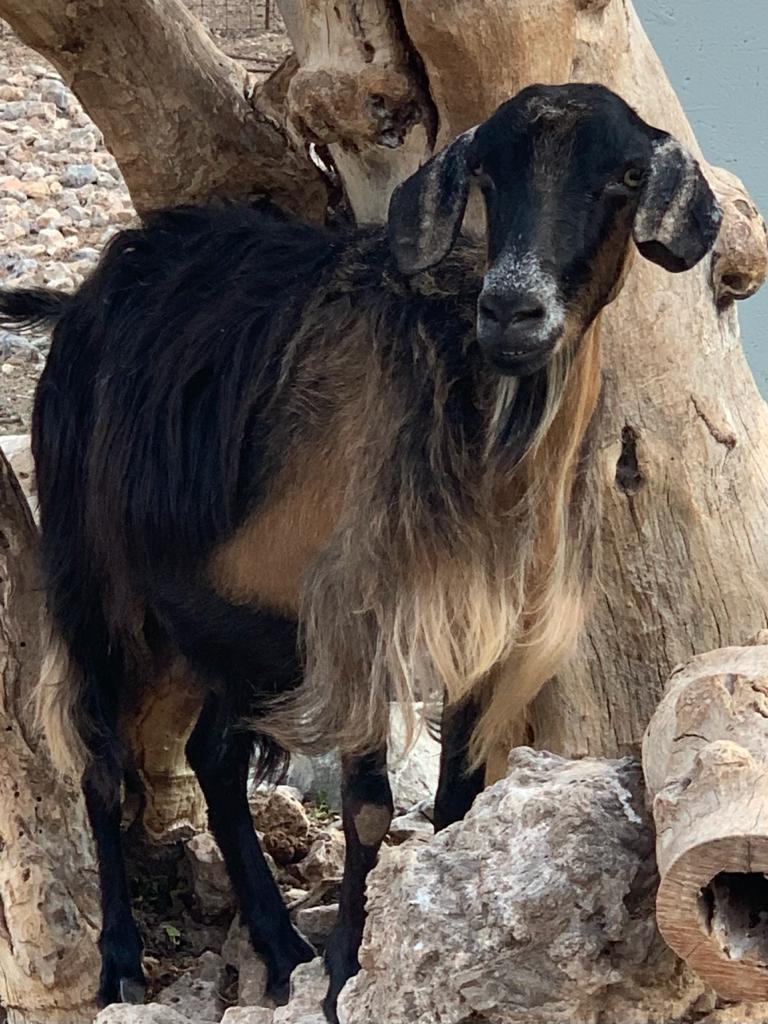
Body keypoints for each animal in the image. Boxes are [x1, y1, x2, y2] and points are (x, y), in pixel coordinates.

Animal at [0, 83, 720, 1019]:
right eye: (488, 173)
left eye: (626, 175)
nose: (511, 310)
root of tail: (88, 294)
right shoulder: (362, 618)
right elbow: (370, 808)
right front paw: (349, 966)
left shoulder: (492, 629)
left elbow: (459, 797)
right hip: (99, 581)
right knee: (101, 763)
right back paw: (122, 962)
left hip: (242, 618)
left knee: (213, 758)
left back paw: (278, 946)